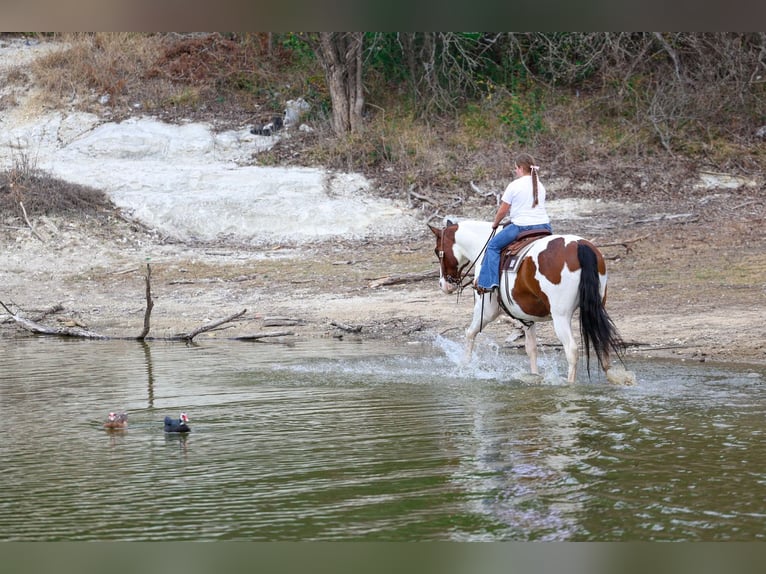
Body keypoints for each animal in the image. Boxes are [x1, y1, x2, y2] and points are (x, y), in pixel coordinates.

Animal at [429, 219, 626, 383]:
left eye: (437, 252)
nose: (443, 284)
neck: (483, 248)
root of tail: (580, 246)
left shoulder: (487, 310)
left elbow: (470, 333)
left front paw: (465, 367)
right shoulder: (525, 315)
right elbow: (531, 348)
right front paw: (534, 376)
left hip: (561, 316)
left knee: (571, 350)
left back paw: (570, 385)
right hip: (598, 306)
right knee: (603, 342)